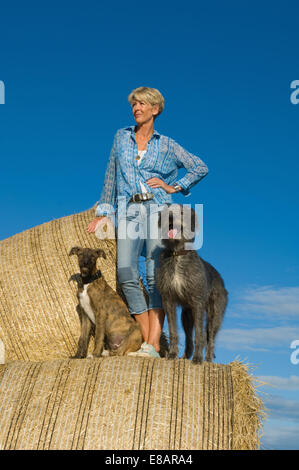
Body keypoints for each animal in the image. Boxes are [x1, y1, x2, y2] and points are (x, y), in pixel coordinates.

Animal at [156, 205, 229, 364]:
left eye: (182, 212)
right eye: (167, 212)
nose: (170, 217)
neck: (177, 254)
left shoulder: (198, 303)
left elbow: (200, 335)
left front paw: (197, 358)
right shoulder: (168, 300)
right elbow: (173, 330)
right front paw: (172, 354)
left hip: (215, 313)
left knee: (210, 337)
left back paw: (207, 359)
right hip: (186, 316)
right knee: (189, 337)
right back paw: (185, 356)